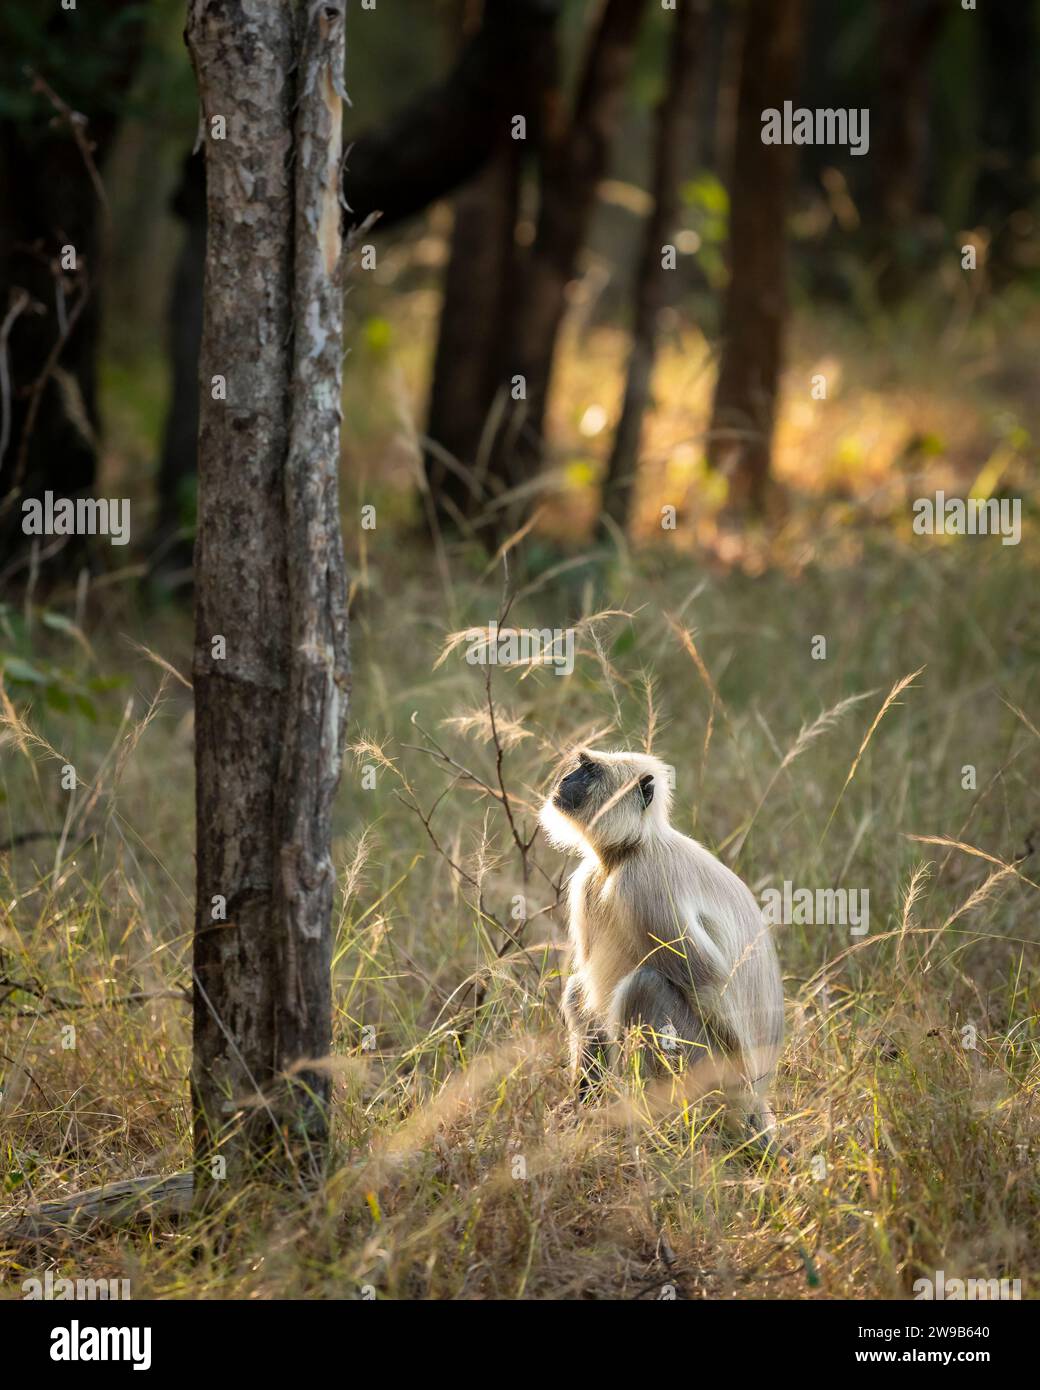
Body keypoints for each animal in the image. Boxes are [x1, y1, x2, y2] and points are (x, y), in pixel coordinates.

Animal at [539, 750, 784, 1150]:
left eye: (589, 769)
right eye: (579, 765)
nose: (564, 781)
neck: (628, 852)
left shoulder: (645, 885)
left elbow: (710, 984)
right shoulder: (587, 881)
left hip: (707, 1071)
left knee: (645, 986)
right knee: (579, 991)